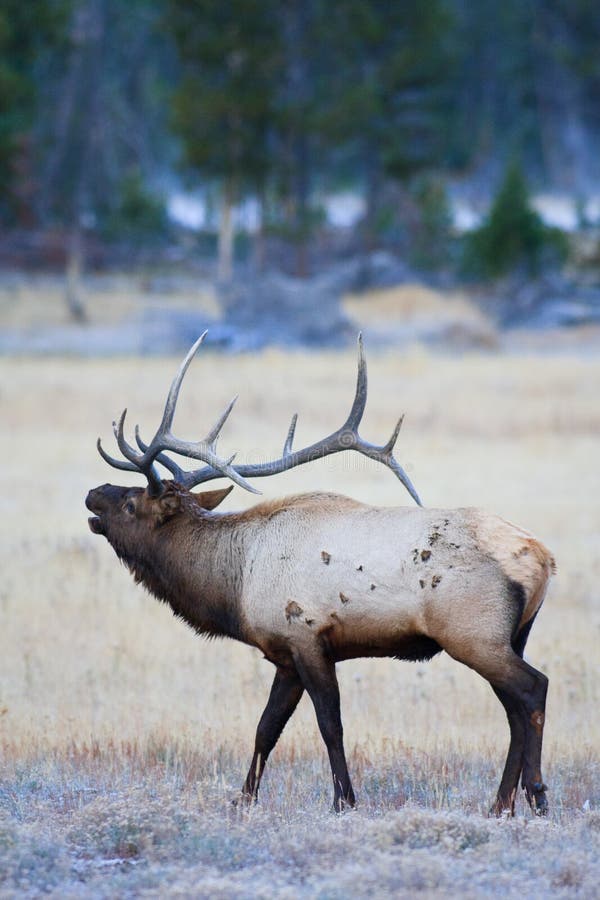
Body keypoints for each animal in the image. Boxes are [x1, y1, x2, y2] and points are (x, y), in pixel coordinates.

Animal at [86, 330, 556, 816]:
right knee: (513, 710)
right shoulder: (284, 654)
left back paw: (536, 793)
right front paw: (243, 800)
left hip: (474, 633)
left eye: (130, 503)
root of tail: (543, 558)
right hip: (512, 635)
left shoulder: (308, 637)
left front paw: (343, 799)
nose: (93, 492)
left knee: (533, 689)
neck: (236, 585)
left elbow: (330, 725)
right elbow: (266, 728)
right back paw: (501, 805)